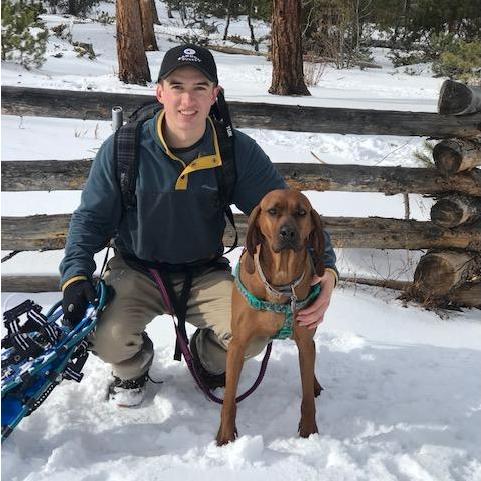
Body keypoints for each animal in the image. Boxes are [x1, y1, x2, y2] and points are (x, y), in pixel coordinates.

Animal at [218, 189, 326, 444]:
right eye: (273, 211)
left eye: (302, 212)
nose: (288, 233)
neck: (281, 281)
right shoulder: (238, 344)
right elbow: (229, 400)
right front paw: (226, 436)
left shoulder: (304, 341)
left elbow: (307, 397)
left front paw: (309, 431)